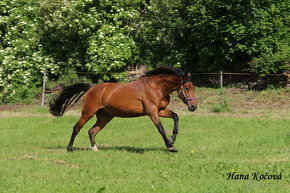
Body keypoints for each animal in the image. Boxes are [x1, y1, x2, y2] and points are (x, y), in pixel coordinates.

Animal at [49, 66, 197, 152]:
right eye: (187, 88)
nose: (193, 106)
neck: (156, 87)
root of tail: (91, 88)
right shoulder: (152, 112)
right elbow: (160, 128)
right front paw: (170, 146)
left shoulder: (160, 110)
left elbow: (176, 116)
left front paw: (172, 139)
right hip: (88, 112)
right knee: (77, 127)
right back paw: (70, 148)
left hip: (105, 116)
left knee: (92, 131)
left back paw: (95, 149)